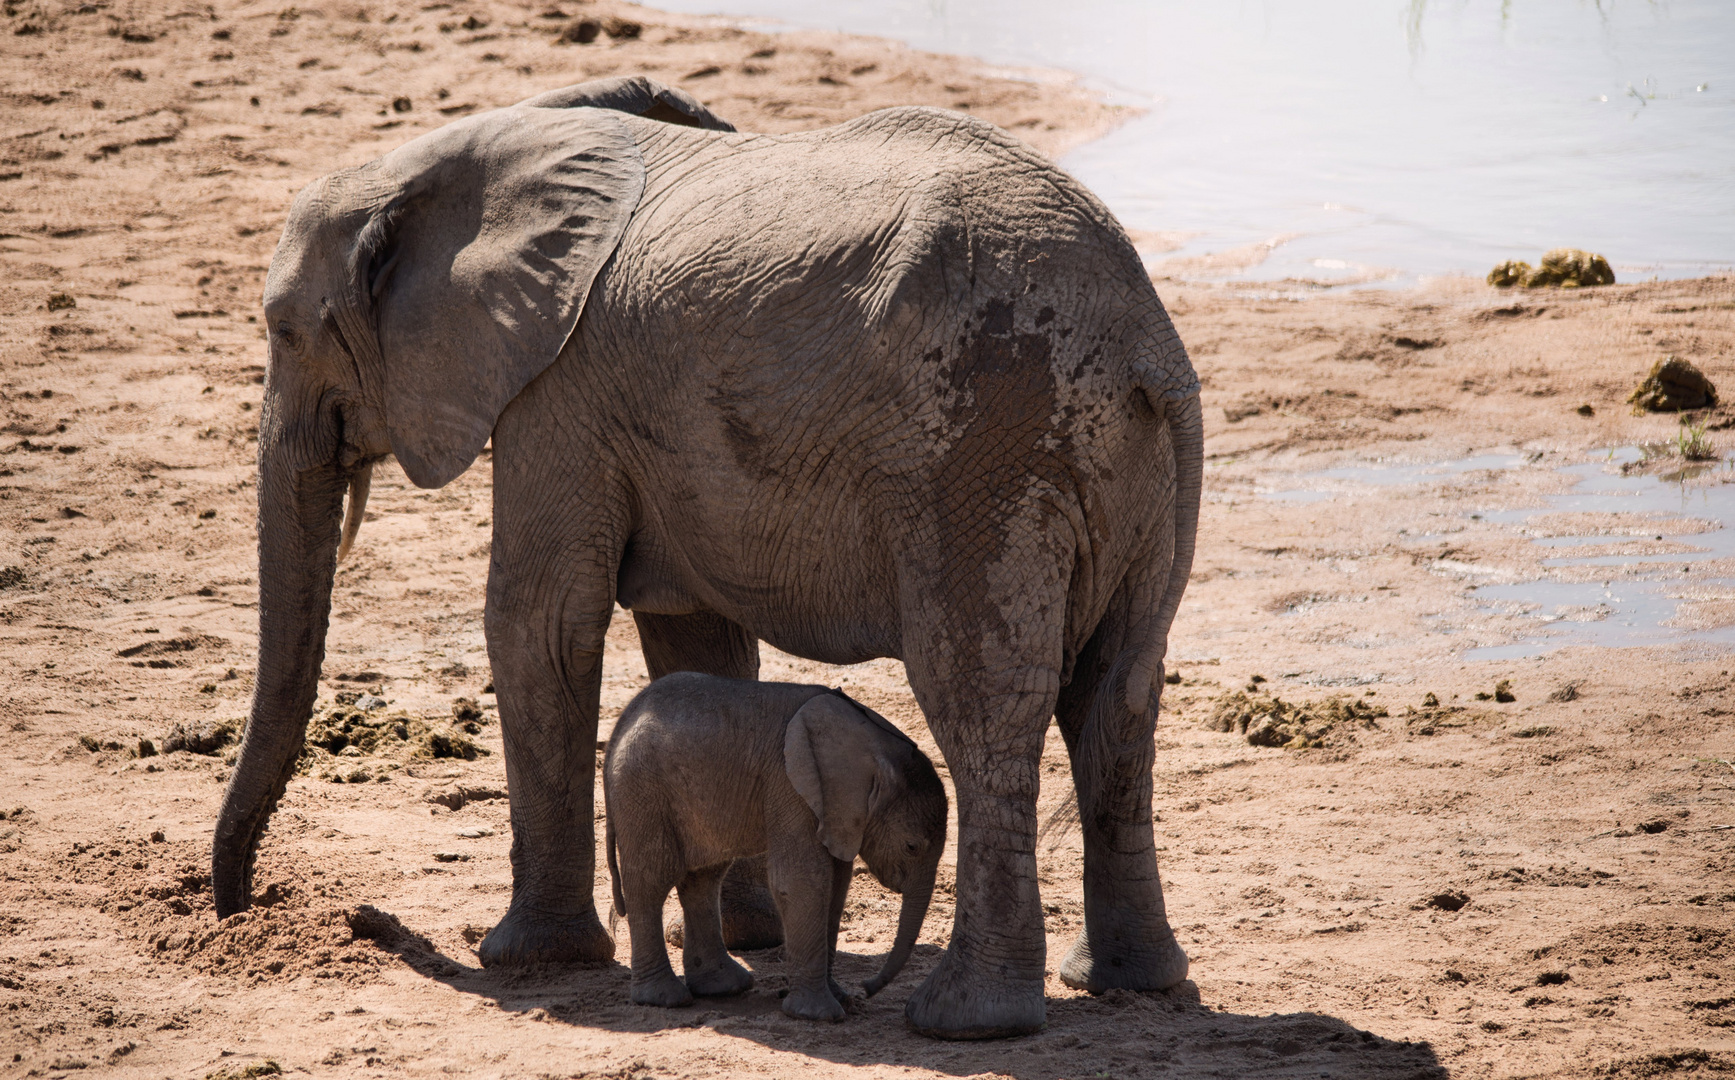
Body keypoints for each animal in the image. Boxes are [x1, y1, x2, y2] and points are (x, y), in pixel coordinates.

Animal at [600, 677, 950, 1020]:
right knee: (651, 881)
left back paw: (724, 986)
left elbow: (836, 885)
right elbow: (802, 881)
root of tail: (620, 724)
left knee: (703, 878)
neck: (873, 742)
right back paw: (665, 999)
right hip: (642, 790)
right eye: (911, 846)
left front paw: (841, 999)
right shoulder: (792, 787)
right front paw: (819, 1015)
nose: (866, 988)